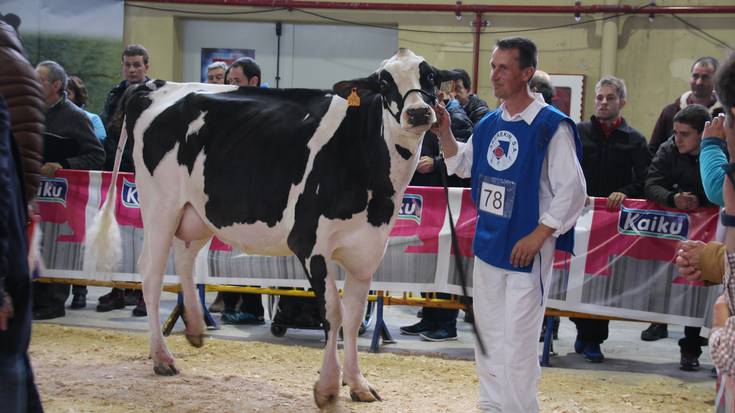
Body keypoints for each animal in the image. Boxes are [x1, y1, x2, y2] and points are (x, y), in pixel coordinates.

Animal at [85, 50, 454, 408]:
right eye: (384, 82)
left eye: (430, 76)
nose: (418, 112)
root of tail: (155, 85)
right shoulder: (309, 243)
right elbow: (332, 313)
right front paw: (328, 387)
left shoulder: (367, 250)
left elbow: (352, 317)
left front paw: (358, 384)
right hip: (160, 205)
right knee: (151, 272)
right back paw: (162, 357)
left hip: (197, 211)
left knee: (185, 259)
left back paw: (193, 327)